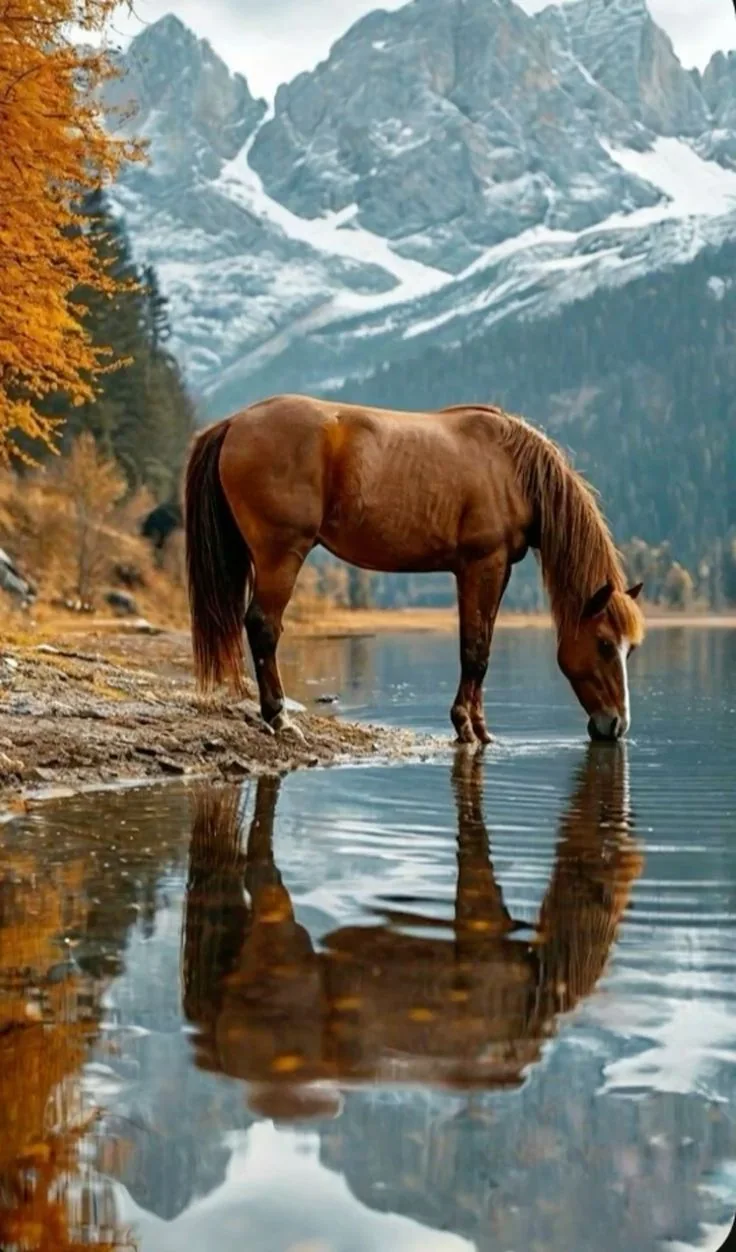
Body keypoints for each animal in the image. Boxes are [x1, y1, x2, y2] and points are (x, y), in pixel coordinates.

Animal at [184, 395, 645, 742]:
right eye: (605, 644)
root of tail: (235, 422)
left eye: (630, 650)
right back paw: (278, 717)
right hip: (281, 555)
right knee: (263, 625)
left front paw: (480, 728)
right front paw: (465, 727)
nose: (616, 726)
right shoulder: (482, 565)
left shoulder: (491, 571)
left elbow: (482, 647)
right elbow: (474, 651)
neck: (511, 469)